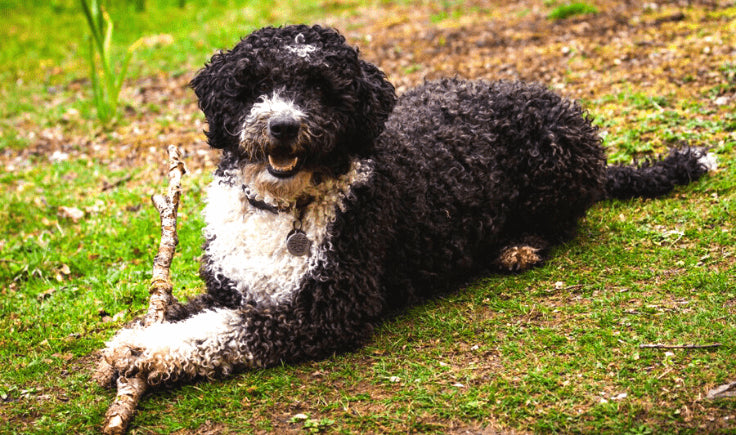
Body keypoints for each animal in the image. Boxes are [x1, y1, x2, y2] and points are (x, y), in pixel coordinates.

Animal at [96, 24, 712, 388]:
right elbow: (190, 313)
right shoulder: (233, 287)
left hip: (556, 154)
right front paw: (133, 342)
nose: (283, 125)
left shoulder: (326, 307)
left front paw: (141, 350)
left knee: (562, 222)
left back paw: (519, 246)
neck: (282, 208)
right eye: (255, 84)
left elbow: (221, 332)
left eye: (322, 88)